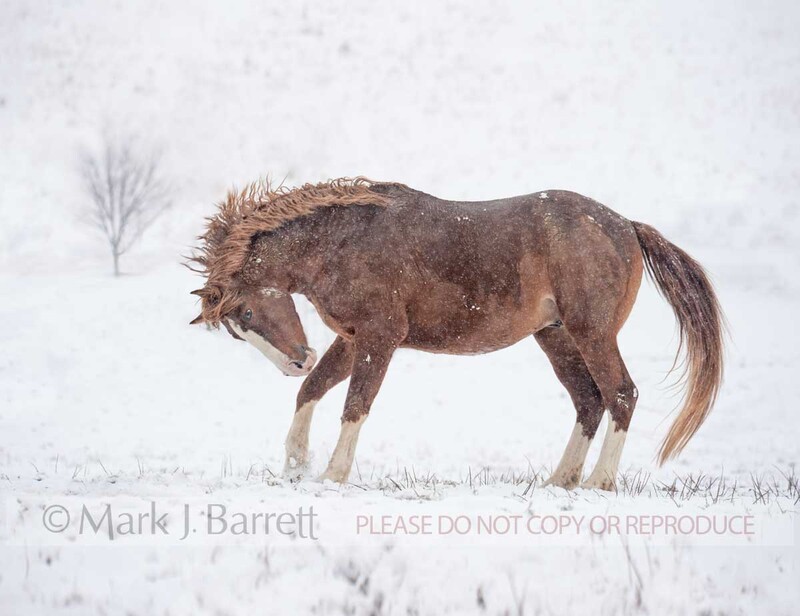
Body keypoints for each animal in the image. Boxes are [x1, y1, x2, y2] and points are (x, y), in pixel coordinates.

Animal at [189, 178, 724, 490]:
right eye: (236, 329)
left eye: (248, 311)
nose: (295, 360)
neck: (342, 242)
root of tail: (627, 226)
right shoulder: (353, 338)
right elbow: (312, 391)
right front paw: (297, 466)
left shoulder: (381, 337)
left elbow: (355, 405)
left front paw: (333, 474)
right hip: (555, 336)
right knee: (589, 401)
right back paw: (561, 480)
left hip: (592, 333)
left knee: (621, 394)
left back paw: (598, 483)